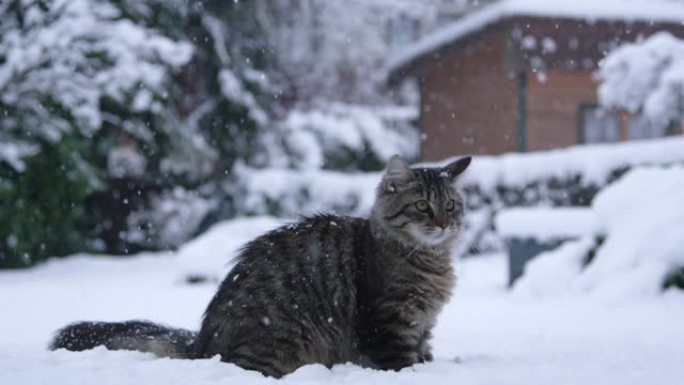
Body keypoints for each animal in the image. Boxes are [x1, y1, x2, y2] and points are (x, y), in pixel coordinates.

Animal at [50, 154, 472, 376]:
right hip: (282, 338)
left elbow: (424, 354)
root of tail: (202, 342)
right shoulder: (386, 321)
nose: (443, 223)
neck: (429, 261)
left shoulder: (422, 327)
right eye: (422, 206)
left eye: (451, 205)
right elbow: (401, 362)